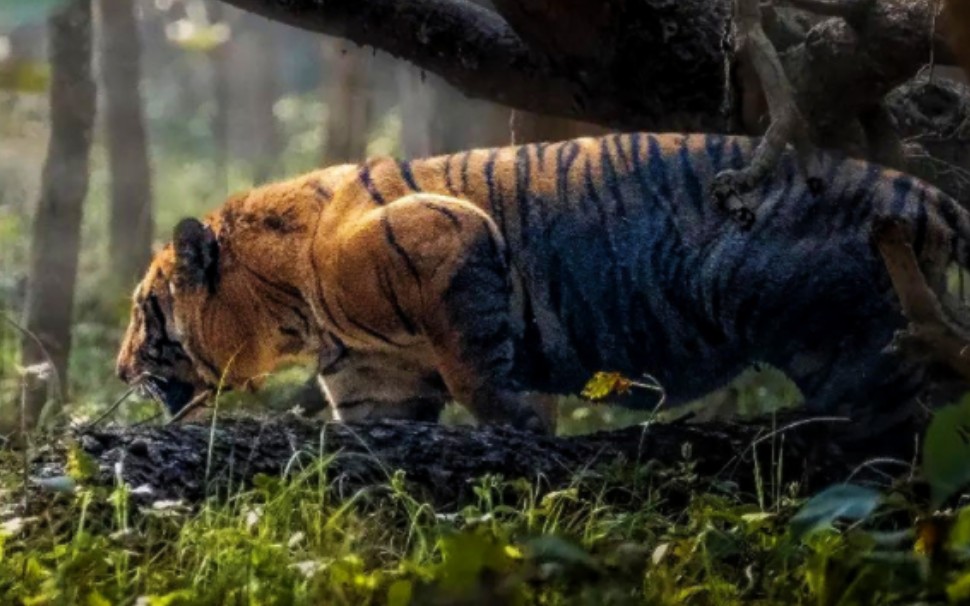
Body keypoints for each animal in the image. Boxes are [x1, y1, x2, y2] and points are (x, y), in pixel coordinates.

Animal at [117, 133, 968, 436]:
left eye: (144, 314)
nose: (121, 370)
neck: (296, 310)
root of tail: (919, 192)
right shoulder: (376, 382)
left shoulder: (450, 240)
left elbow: (477, 371)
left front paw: (525, 427)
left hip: (818, 321)